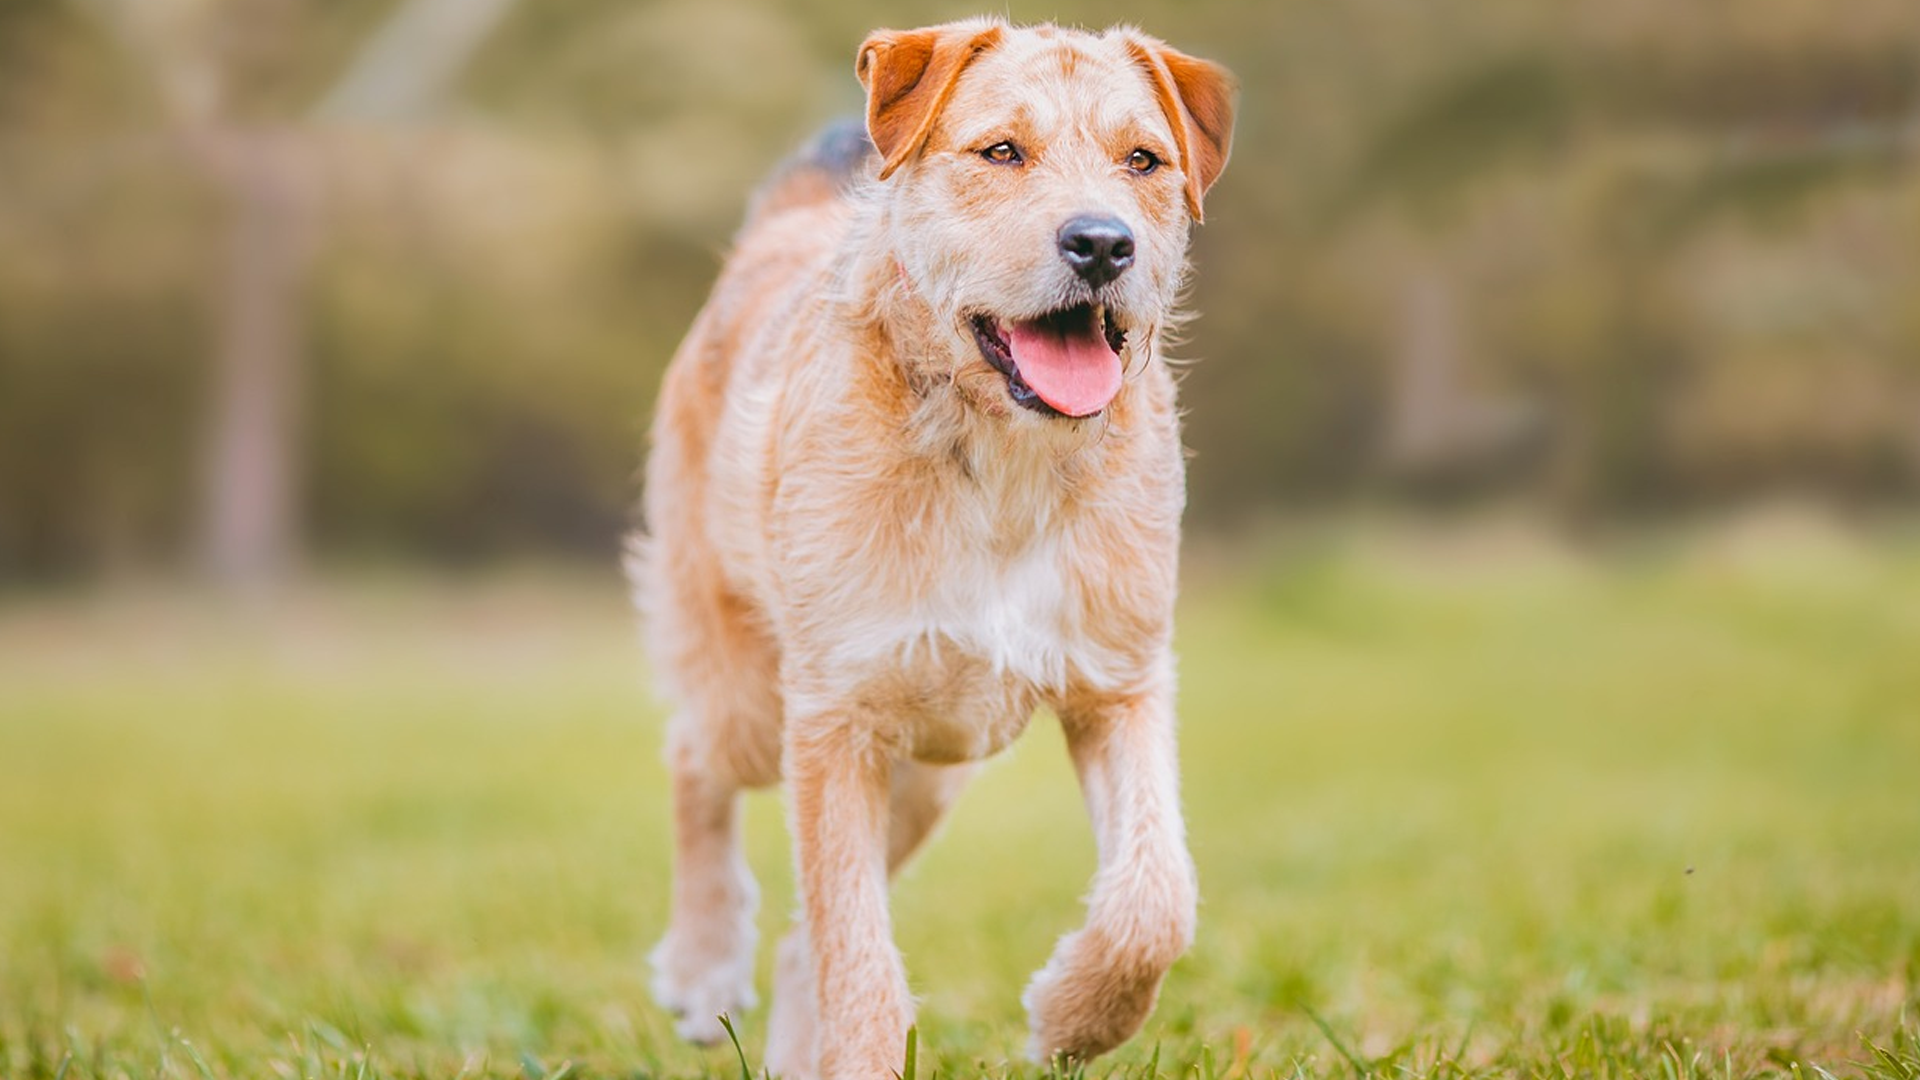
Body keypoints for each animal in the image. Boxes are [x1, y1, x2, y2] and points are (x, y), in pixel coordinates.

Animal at [629, 18, 1228, 1076]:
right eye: (1002, 152)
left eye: (1144, 162)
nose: (1102, 243)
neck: (1001, 462)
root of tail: (782, 225)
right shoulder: (834, 720)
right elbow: (859, 957)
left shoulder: (1118, 684)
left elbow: (1157, 899)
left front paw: (1074, 1016)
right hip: (755, 701)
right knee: (694, 756)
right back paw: (704, 965)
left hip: (931, 770)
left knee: (801, 940)